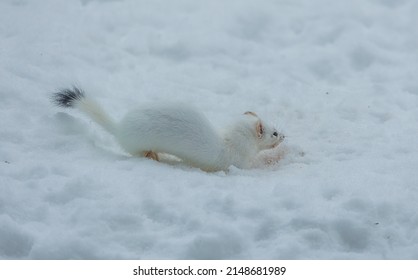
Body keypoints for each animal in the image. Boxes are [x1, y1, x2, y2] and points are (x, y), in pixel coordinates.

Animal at [52, 86, 284, 172]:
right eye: (274, 132)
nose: (284, 135)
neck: (227, 140)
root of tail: (120, 128)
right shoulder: (238, 162)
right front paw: (275, 158)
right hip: (140, 144)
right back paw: (154, 156)